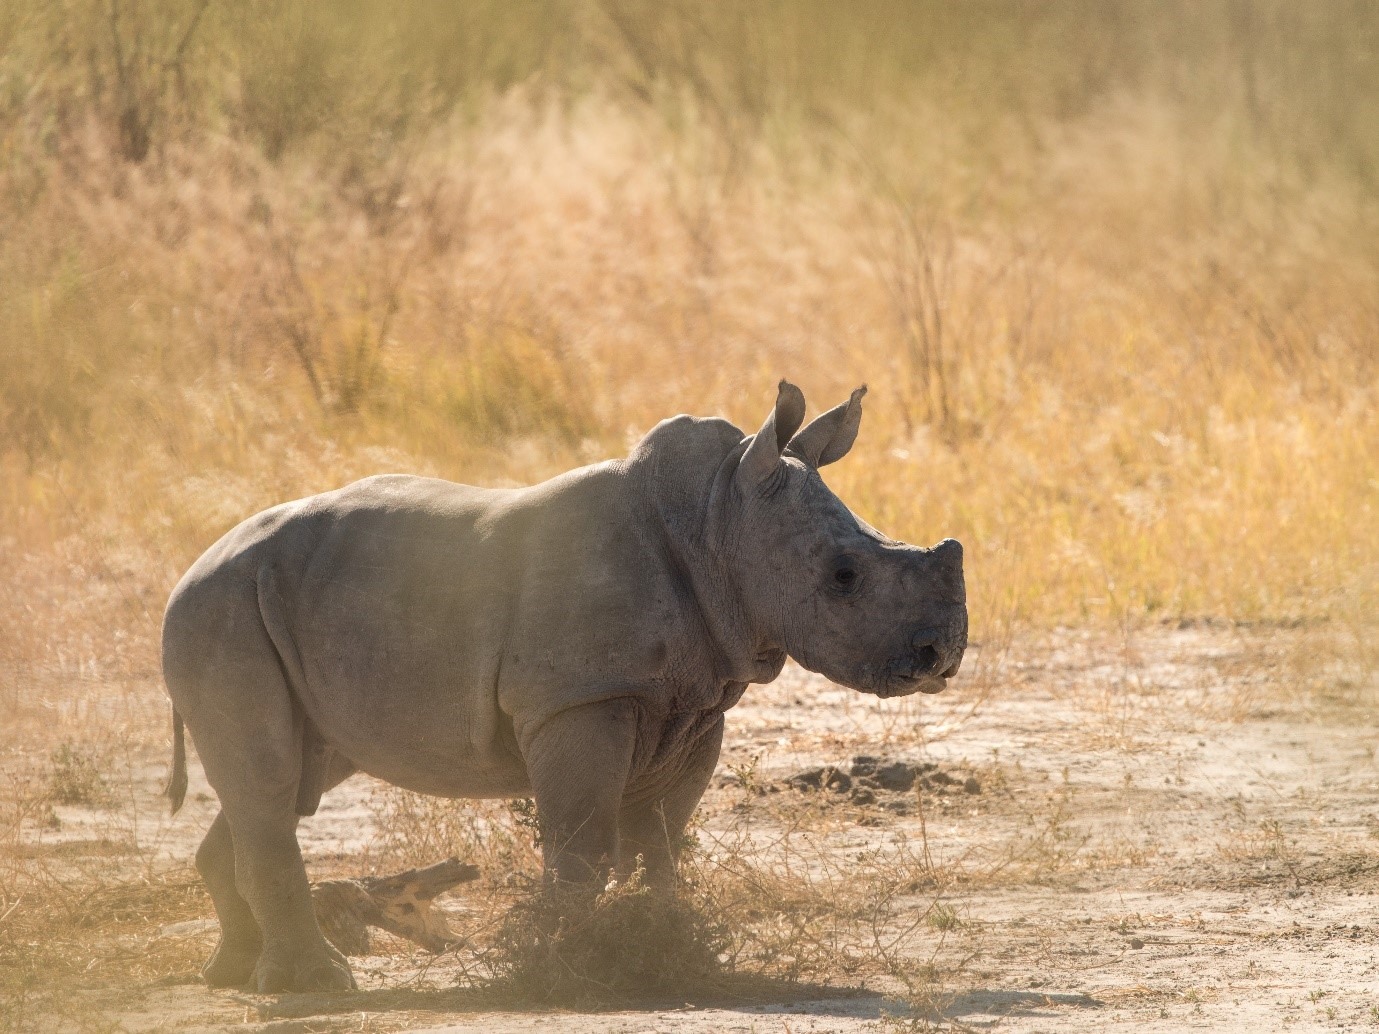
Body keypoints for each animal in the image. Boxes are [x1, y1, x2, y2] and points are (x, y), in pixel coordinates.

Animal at [161, 381, 968, 993]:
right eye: (843, 577)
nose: (941, 655)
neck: (717, 520)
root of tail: (197, 562)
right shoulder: (582, 698)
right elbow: (582, 841)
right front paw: (564, 968)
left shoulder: (691, 703)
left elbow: (659, 840)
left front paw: (671, 949)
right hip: (219, 609)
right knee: (269, 780)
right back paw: (315, 987)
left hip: (271, 604)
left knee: (294, 774)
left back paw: (232, 977)